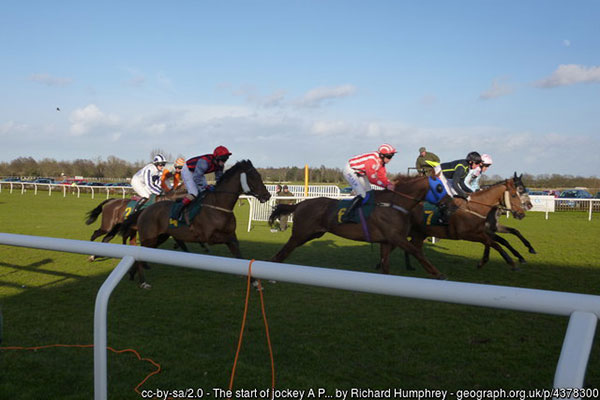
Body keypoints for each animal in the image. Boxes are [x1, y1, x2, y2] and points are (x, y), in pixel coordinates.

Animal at [118, 159, 272, 288]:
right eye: (254, 177)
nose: (267, 195)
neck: (218, 205)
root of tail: (145, 210)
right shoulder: (211, 237)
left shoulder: (231, 237)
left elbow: (240, 254)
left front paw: (254, 282)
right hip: (149, 238)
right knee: (139, 256)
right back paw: (143, 282)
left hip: (159, 238)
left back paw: (132, 273)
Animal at [268, 173, 446, 280]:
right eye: (439, 187)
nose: (447, 206)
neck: (394, 204)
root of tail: (300, 204)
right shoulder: (396, 237)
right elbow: (417, 251)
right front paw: (438, 273)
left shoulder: (386, 241)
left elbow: (386, 265)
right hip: (300, 234)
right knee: (280, 254)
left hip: (310, 234)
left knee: (282, 255)